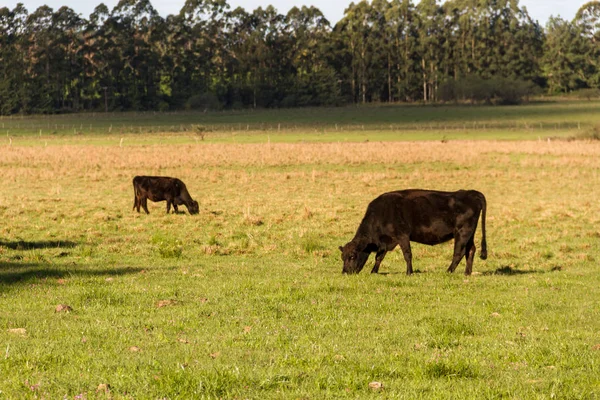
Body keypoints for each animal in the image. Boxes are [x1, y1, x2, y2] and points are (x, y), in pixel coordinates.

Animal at [338, 190, 488, 276]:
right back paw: (467, 273)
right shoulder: (387, 241)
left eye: (352, 256)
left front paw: (409, 272)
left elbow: (407, 254)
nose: (345, 272)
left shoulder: (402, 236)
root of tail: (471, 193)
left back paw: (448, 271)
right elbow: (379, 257)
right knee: (470, 250)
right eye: (342, 257)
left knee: (459, 252)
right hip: (469, 234)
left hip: (462, 232)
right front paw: (374, 271)